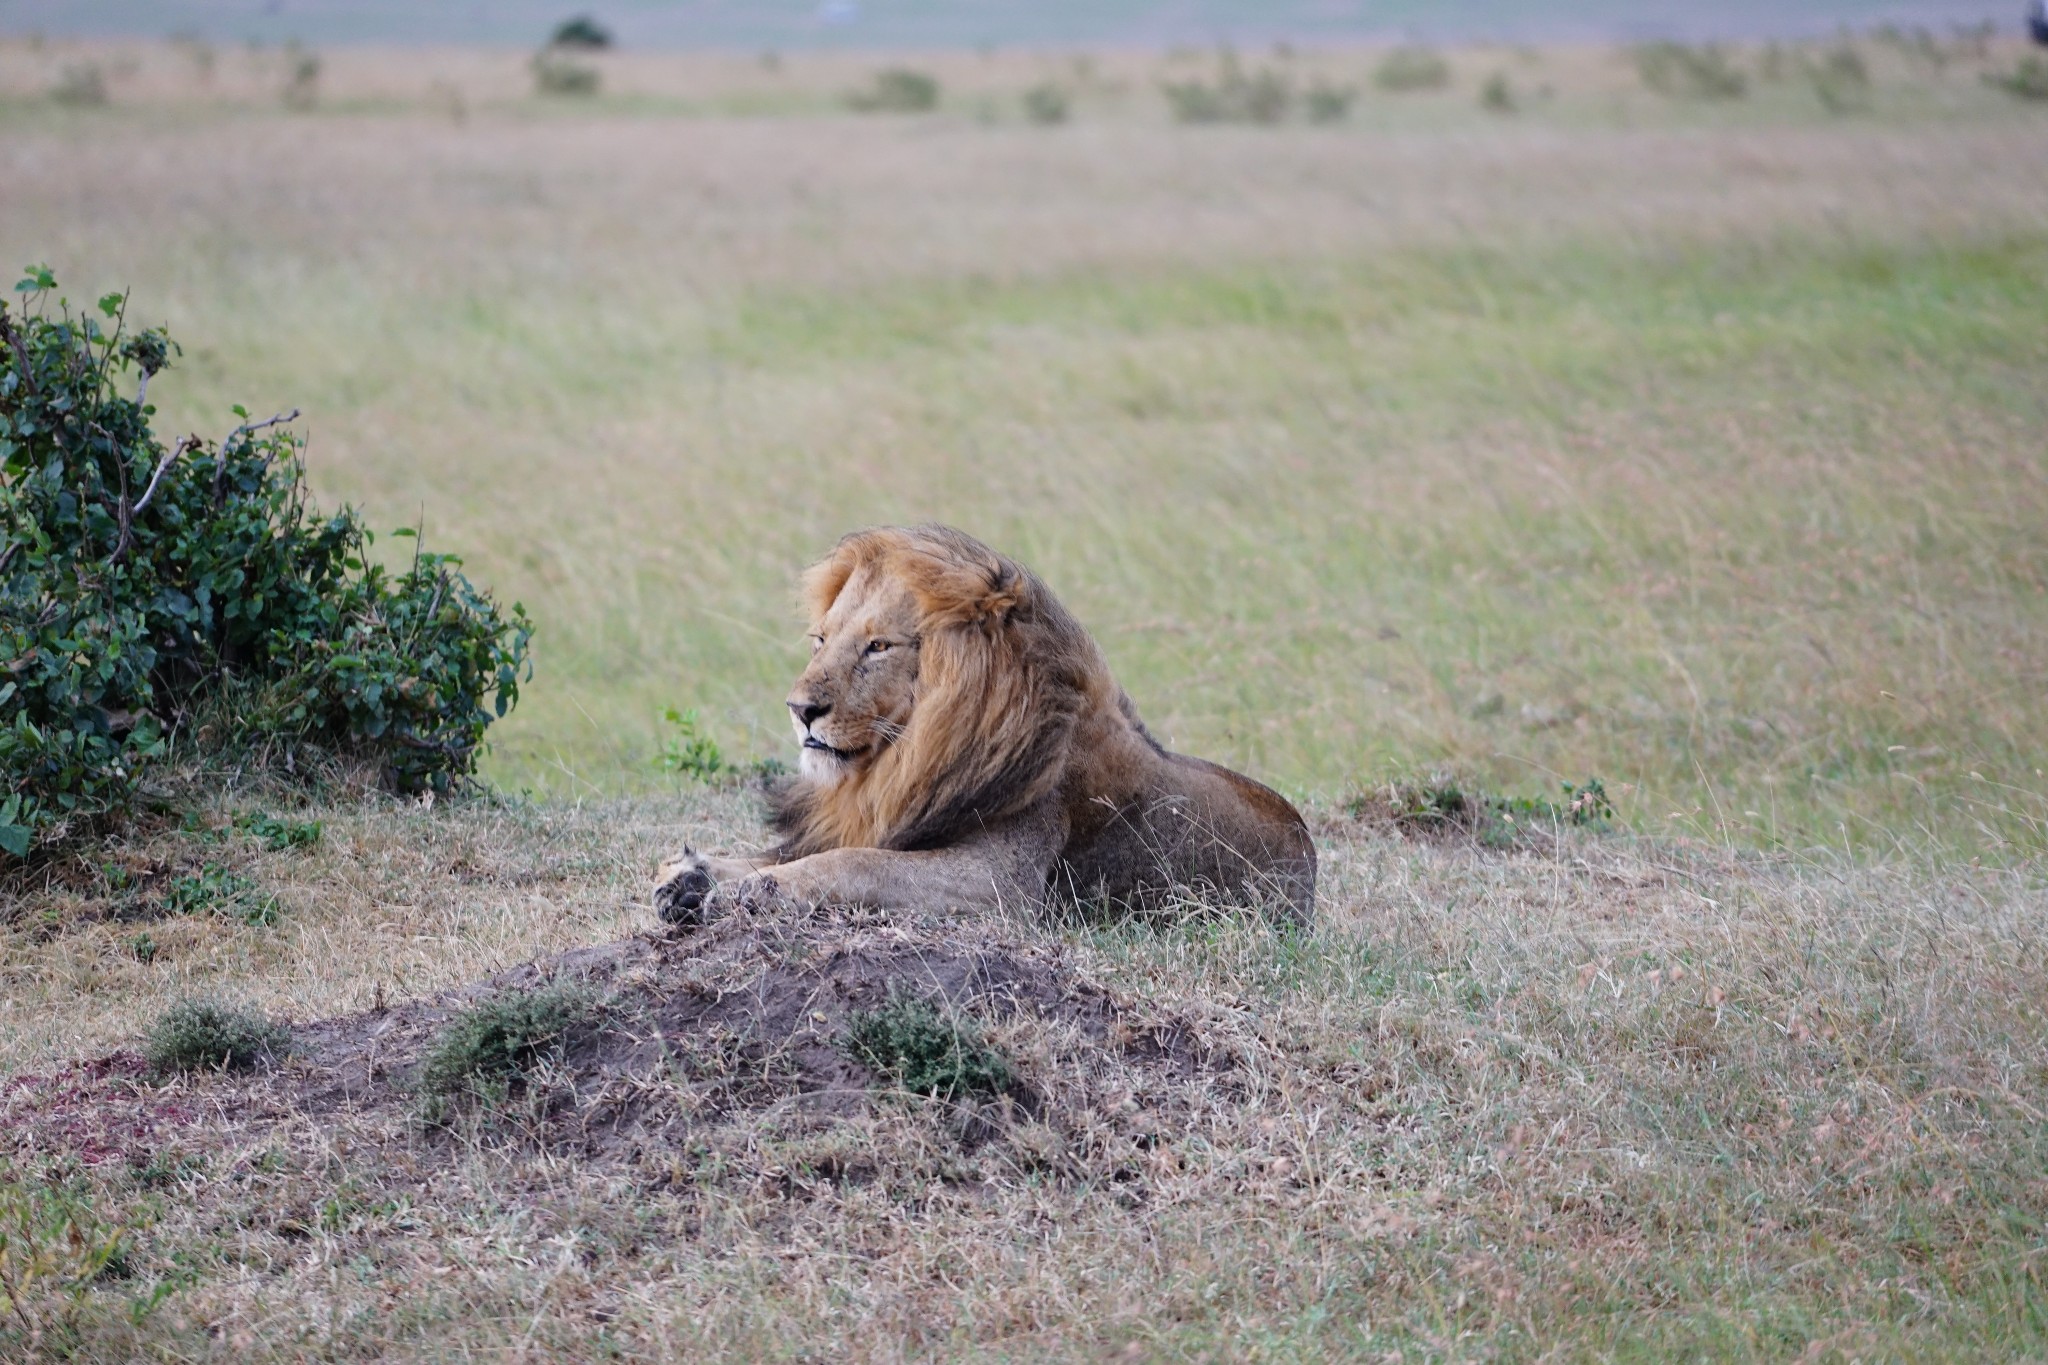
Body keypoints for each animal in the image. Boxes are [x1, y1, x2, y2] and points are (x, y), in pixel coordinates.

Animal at [663, 523, 1318, 929]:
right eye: (821, 640)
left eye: (878, 646)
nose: (799, 709)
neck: (906, 760)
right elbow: (788, 852)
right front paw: (693, 875)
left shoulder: (1000, 886)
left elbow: (852, 863)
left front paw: (746, 892)